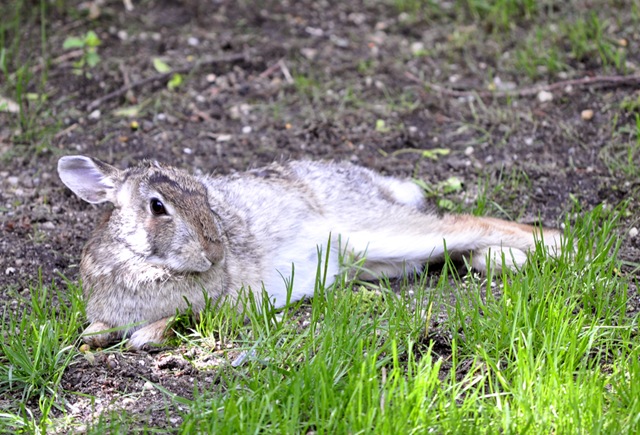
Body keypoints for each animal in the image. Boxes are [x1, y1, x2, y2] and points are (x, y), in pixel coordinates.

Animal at [57, 157, 564, 350]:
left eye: (205, 196)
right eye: (157, 207)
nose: (216, 251)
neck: (142, 259)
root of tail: (371, 183)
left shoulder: (207, 307)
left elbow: (163, 325)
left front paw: (143, 337)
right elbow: (95, 330)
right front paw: (94, 338)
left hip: (379, 232)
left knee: (463, 224)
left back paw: (560, 246)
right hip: (378, 261)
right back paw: (502, 260)